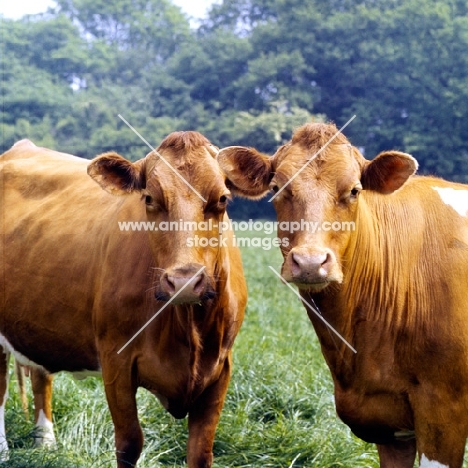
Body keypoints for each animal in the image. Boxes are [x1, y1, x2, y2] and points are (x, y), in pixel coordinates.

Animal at [0, 133, 249, 468]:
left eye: (222, 199)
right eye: (149, 198)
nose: (184, 281)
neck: (186, 327)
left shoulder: (220, 367)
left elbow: (201, 452)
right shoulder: (116, 361)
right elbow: (129, 443)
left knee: (40, 375)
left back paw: (45, 444)